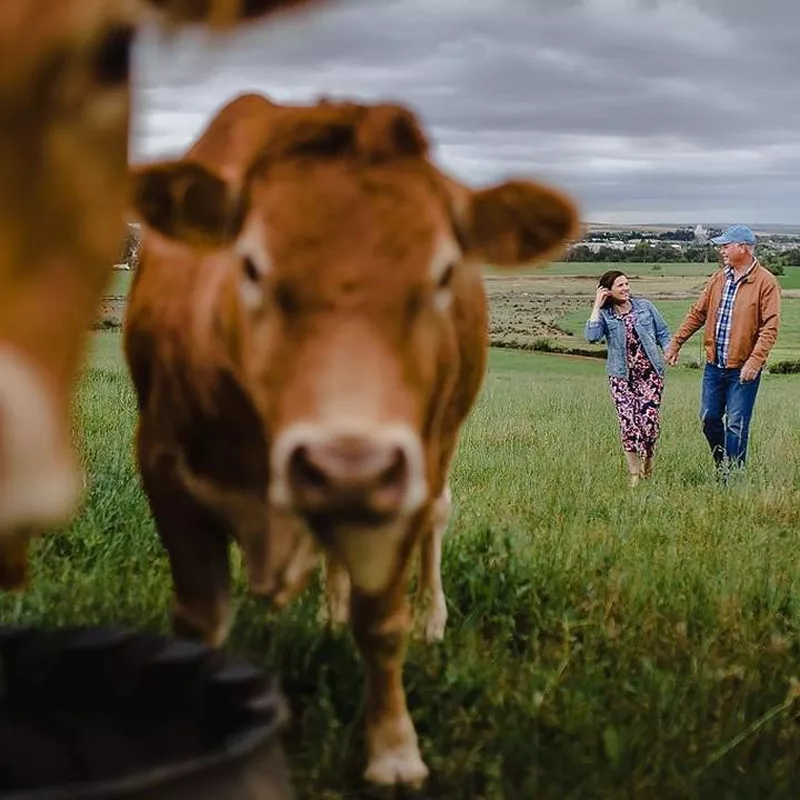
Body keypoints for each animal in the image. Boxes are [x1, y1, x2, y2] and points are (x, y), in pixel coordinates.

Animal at [125, 94, 580, 788]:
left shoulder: (406, 478)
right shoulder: (164, 469)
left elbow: (382, 624)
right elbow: (198, 622)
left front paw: (394, 749)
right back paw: (331, 608)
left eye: (444, 272)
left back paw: (431, 617)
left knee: (436, 522)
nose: (349, 464)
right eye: (249, 265)